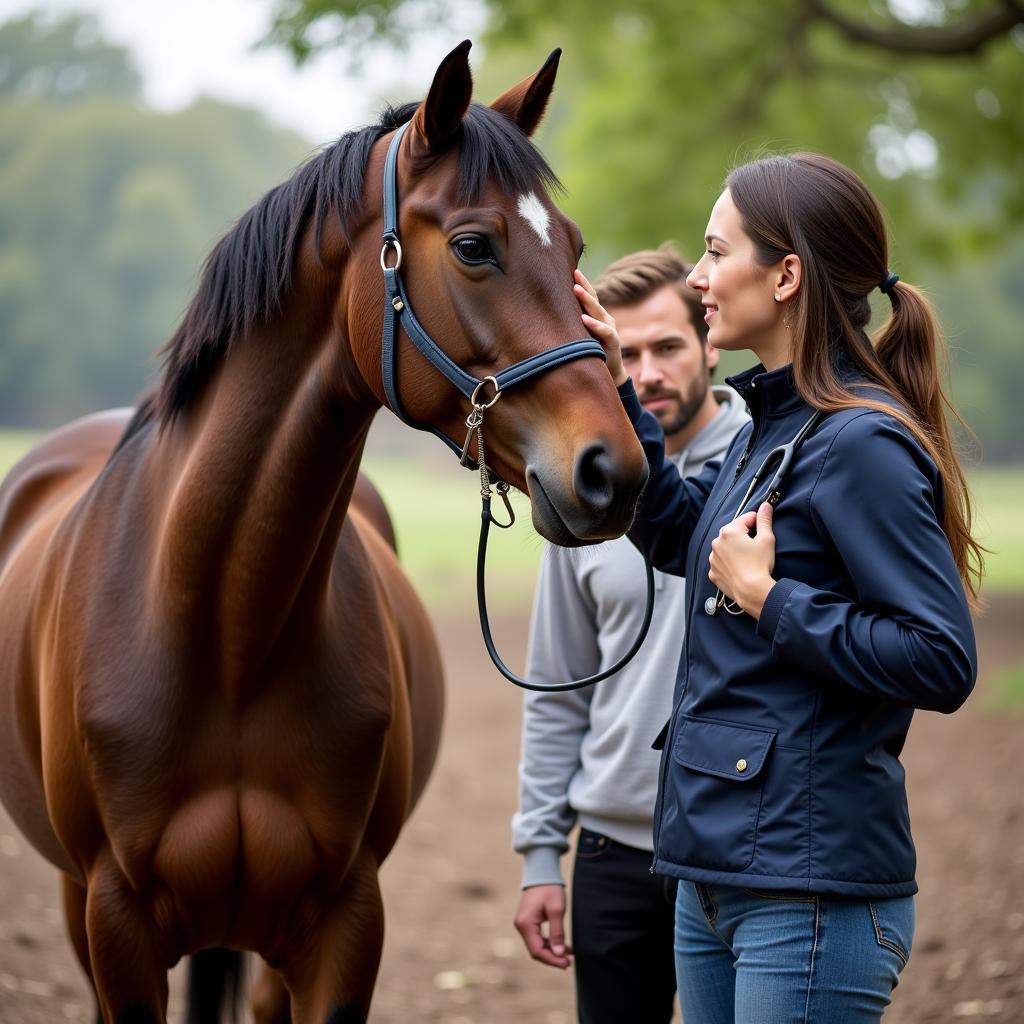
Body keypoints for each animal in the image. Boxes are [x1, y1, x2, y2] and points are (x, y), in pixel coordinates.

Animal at [0, 41, 643, 1024]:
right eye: (474, 245)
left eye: (570, 248)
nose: (615, 472)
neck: (227, 632)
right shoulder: (115, 926)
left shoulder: (345, 923)